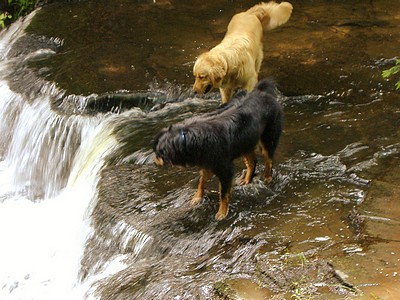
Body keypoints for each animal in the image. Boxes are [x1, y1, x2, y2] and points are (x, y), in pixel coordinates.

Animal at [152, 78, 282, 220]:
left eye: (158, 153)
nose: (154, 161)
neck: (187, 139)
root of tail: (262, 92)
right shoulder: (207, 162)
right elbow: (201, 182)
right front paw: (197, 198)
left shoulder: (225, 169)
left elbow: (223, 194)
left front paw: (222, 212)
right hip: (245, 142)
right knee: (252, 161)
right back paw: (247, 179)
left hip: (268, 137)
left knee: (268, 159)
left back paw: (268, 177)